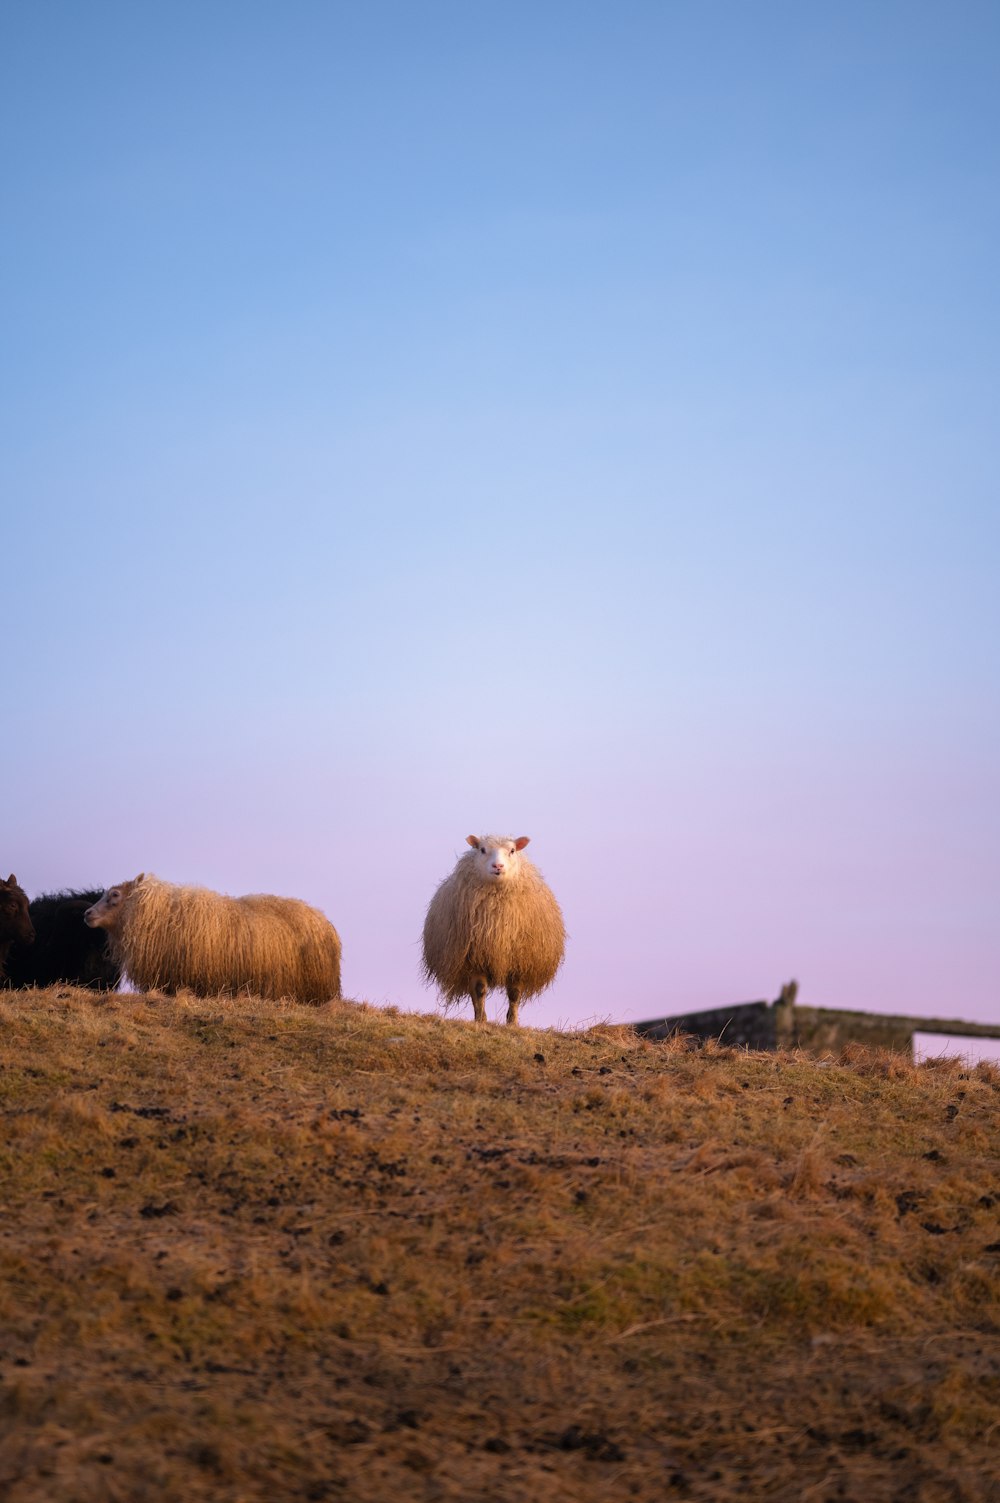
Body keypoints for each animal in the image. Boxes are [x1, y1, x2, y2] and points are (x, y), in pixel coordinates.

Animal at [418, 829, 565, 1028]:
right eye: (482, 849)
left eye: (512, 851)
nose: (498, 866)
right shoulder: (475, 958)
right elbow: (479, 990)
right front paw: (481, 1020)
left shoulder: (519, 960)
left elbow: (514, 994)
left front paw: (512, 1023)